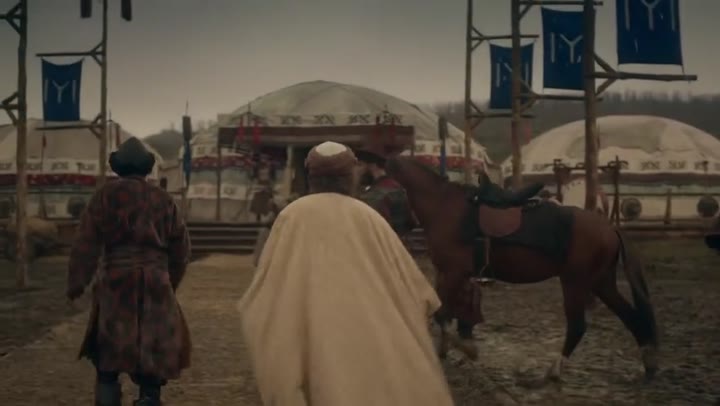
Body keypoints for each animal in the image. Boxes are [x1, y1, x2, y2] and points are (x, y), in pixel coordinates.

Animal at [385, 156, 659, 381]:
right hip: (601, 282)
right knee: (632, 317)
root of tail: (610, 228)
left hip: (575, 282)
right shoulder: (449, 273)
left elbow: (443, 315)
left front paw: (463, 349)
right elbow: (452, 311)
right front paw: (451, 348)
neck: (443, 204)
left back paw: (555, 369)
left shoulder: (454, 272)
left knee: (578, 325)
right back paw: (648, 363)